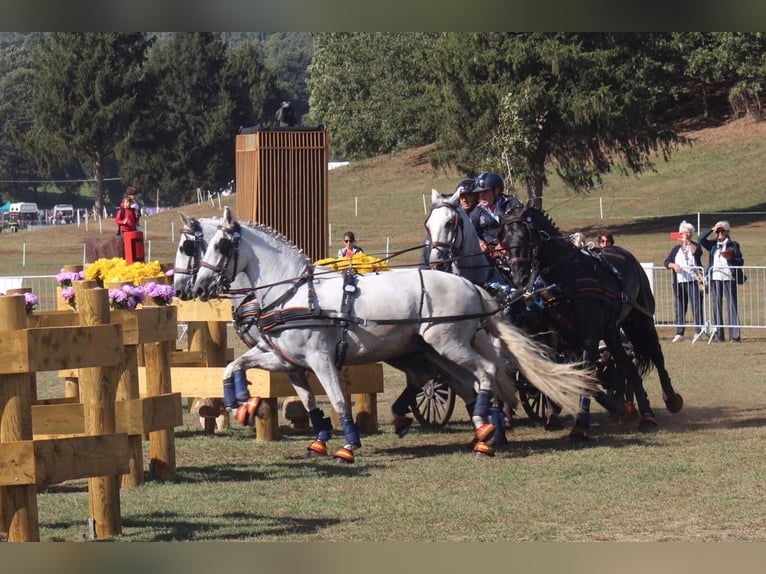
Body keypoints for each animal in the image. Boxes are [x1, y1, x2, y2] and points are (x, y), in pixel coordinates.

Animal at [189, 207, 596, 464]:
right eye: (200, 247)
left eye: (221, 246)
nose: (200, 285)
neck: (295, 293)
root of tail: (474, 287)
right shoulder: (285, 358)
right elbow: (237, 367)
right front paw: (239, 404)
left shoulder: (321, 360)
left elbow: (339, 401)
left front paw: (348, 446)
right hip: (436, 351)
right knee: (466, 382)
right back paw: (482, 429)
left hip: (448, 344)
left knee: (487, 373)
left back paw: (486, 436)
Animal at [500, 207, 688, 440]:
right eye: (503, 241)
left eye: (526, 238)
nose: (520, 278)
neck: (565, 276)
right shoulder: (556, 337)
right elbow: (558, 370)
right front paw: (554, 414)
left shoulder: (588, 337)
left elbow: (586, 376)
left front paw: (580, 426)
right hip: (611, 331)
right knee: (628, 367)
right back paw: (645, 416)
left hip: (640, 320)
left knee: (656, 355)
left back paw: (670, 400)